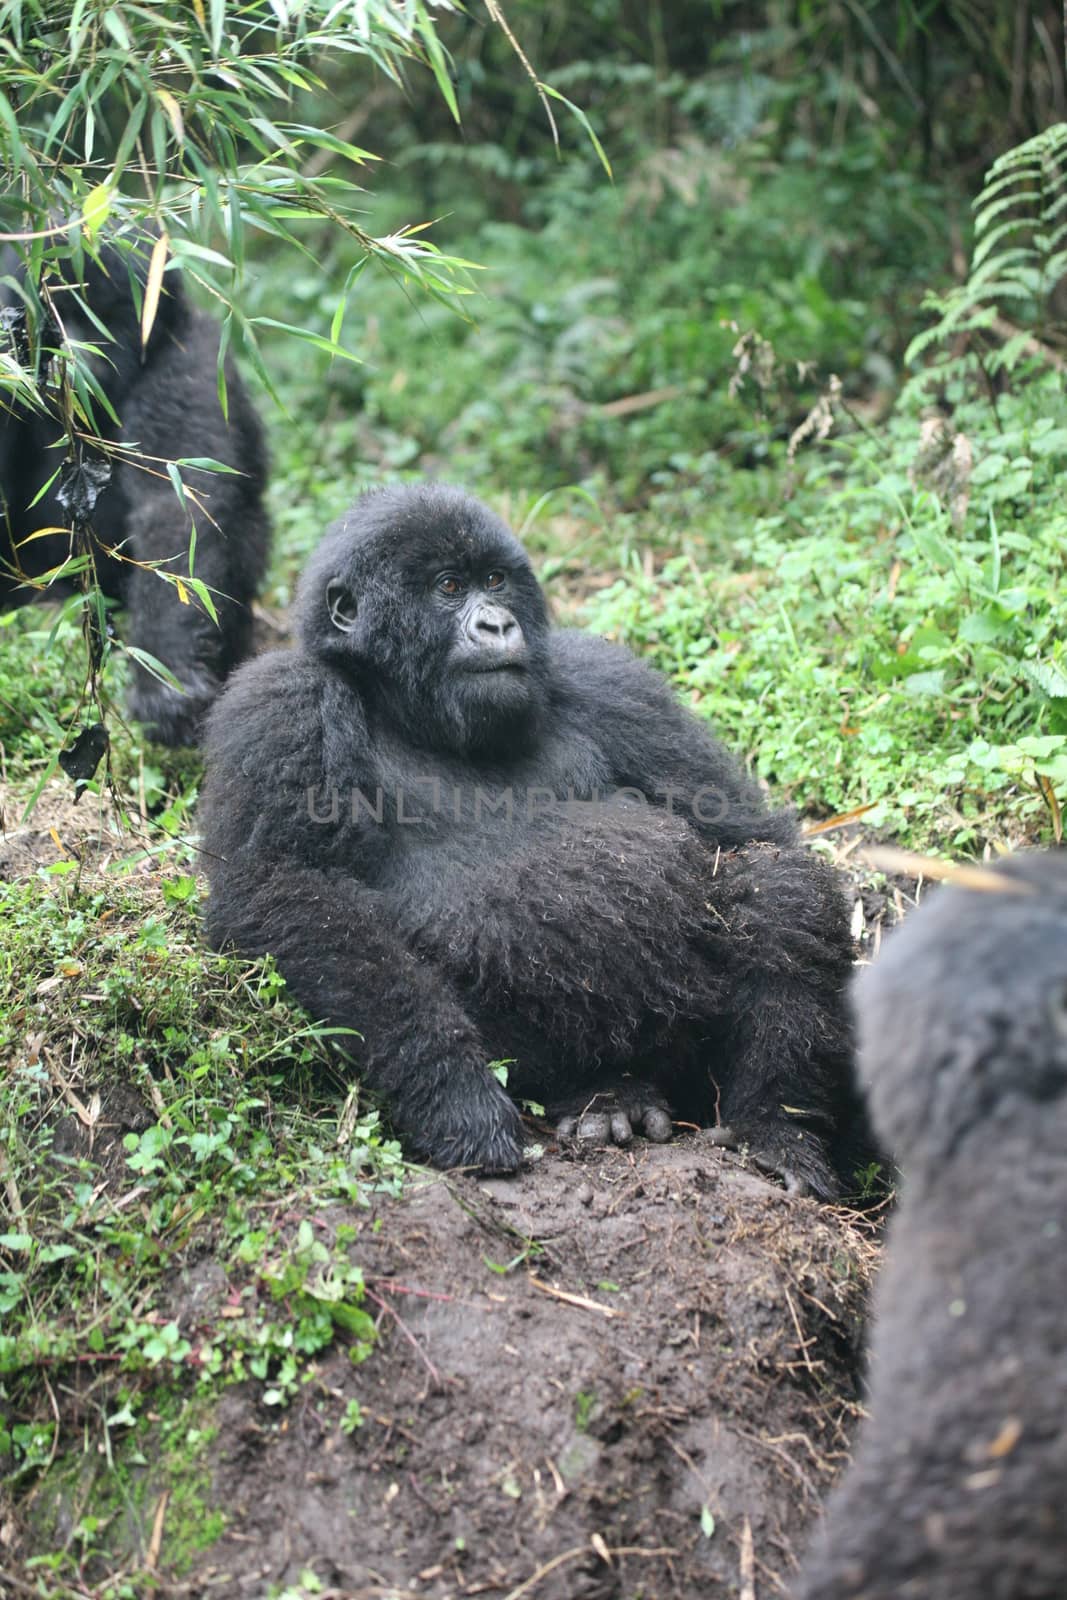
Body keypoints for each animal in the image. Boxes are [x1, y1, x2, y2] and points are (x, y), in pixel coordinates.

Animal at [1, 238, 267, 748]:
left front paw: (165, 680)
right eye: (53, 314)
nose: (74, 355)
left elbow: (179, 511)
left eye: (104, 314)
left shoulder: (187, 362)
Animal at [202, 480, 870, 1196]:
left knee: (775, 889)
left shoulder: (607, 679)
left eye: (494, 580)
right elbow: (291, 892)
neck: (402, 704)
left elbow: (748, 840)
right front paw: (455, 1094)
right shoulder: (281, 704)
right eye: (448, 587)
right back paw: (602, 1093)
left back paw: (772, 1128)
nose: (497, 624)